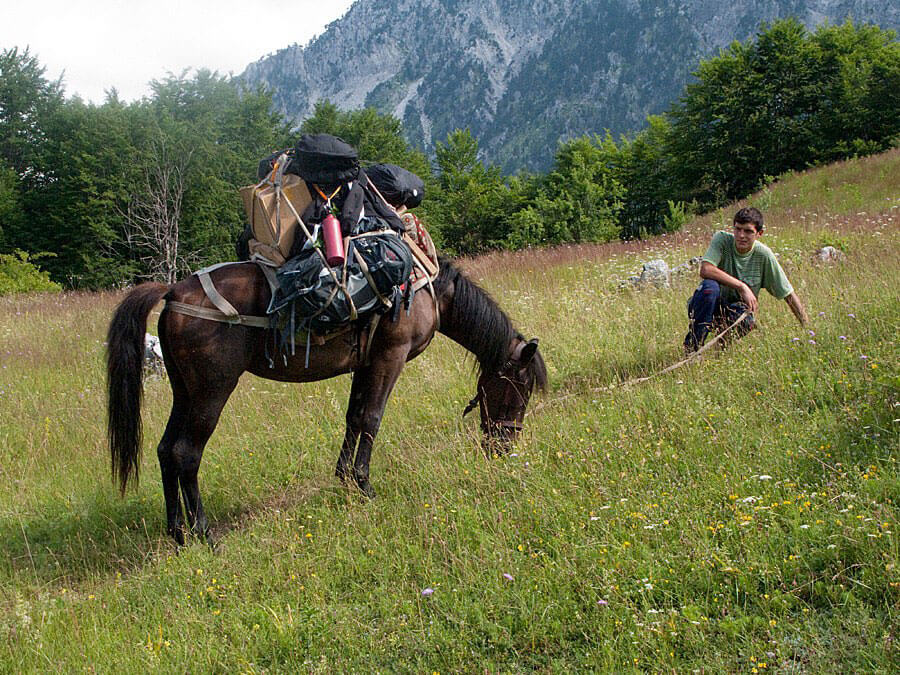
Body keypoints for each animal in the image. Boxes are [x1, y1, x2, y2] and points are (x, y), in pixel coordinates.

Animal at [106, 258, 547, 545]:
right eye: (521, 387)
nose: (504, 446)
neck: (427, 291)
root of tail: (172, 291)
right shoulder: (389, 357)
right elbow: (371, 418)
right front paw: (365, 486)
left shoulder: (366, 363)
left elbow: (354, 418)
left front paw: (345, 479)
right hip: (211, 393)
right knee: (186, 452)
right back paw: (202, 532)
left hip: (185, 392)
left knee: (166, 450)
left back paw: (178, 533)